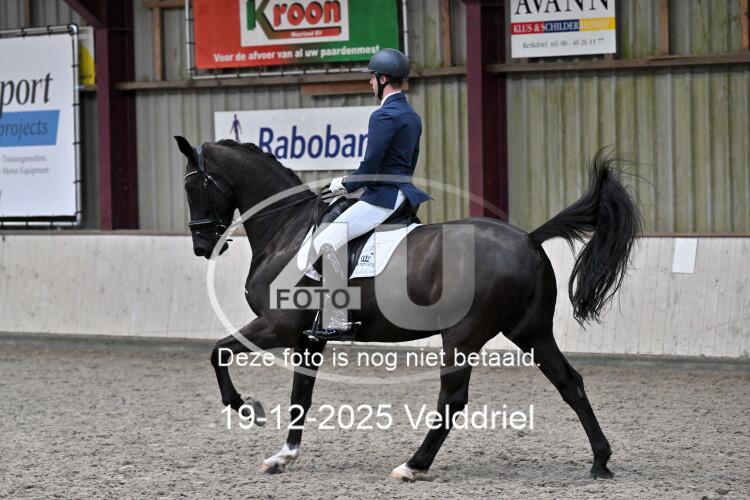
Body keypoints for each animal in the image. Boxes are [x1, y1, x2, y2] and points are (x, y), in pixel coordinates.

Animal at [174, 136, 640, 481]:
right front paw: (284, 455)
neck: (288, 229)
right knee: (569, 383)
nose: (201, 245)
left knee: (453, 399)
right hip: (531, 332)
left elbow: (218, 352)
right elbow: (299, 396)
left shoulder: (278, 326)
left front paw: (246, 408)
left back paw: (413, 465)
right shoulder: (309, 338)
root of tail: (527, 238)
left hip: (463, 335)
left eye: (192, 187)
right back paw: (600, 461)